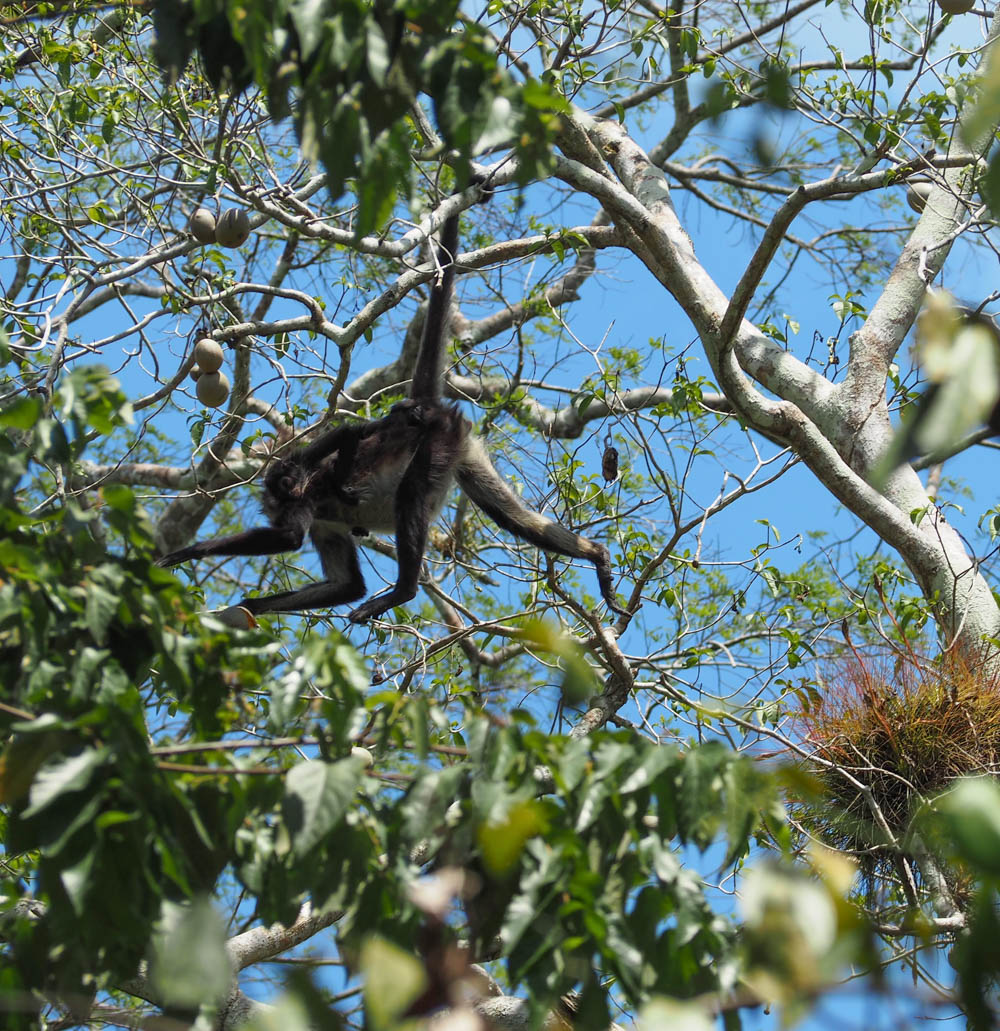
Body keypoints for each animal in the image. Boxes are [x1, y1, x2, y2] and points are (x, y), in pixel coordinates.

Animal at [156, 184, 626, 618]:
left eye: (289, 491)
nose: (293, 487)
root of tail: (428, 408)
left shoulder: (304, 501)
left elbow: (290, 537)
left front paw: (193, 551)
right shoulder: (322, 520)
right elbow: (346, 586)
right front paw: (250, 606)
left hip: (437, 441)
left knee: (412, 494)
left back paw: (404, 591)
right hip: (462, 446)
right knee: (512, 517)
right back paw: (596, 554)